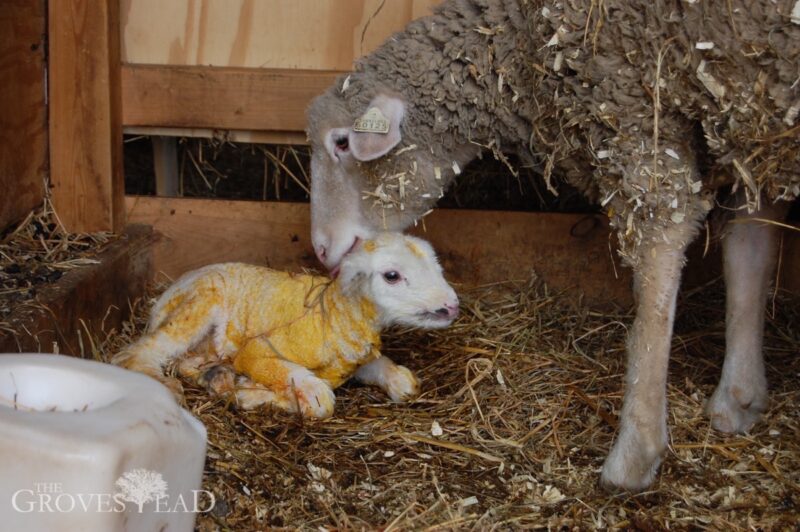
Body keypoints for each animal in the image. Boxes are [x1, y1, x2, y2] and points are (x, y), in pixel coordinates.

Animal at [115, 235, 460, 418]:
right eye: (392, 276)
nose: (452, 305)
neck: (333, 315)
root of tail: (163, 296)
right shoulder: (258, 350)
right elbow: (317, 399)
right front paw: (256, 394)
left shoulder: (356, 357)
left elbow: (395, 376)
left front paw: (399, 378)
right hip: (199, 304)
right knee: (134, 354)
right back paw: (170, 387)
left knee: (190, 361)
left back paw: (216, 376)